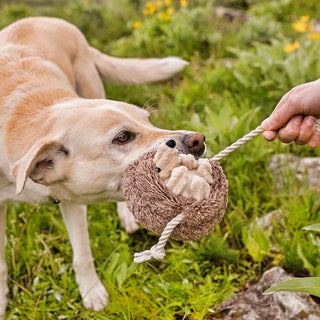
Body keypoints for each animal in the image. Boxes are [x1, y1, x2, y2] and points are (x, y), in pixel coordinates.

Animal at [0, 16, 205, 316]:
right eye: (122, 137)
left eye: (148, 120)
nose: (198, 141)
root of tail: (48, 19)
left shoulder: (71, 200)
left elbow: (82, 254)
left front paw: (91, 291)